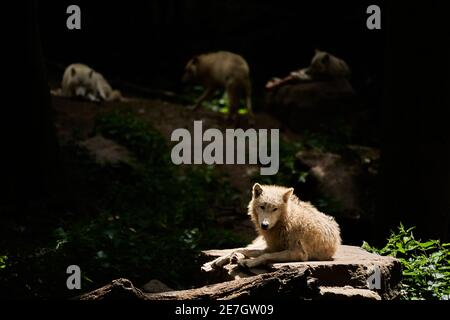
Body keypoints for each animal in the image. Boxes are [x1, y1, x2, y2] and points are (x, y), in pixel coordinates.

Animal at [203, 182, 342, 270]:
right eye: (262, 207)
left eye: (275, 209)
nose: (264, 225)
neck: (286, 221)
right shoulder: (272, 247)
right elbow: (242, 249)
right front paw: (218, 261)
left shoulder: (298, 253)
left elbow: (266, 256)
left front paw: (249, 262)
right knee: (240, 249)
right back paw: (218, 261)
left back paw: (236, 259)